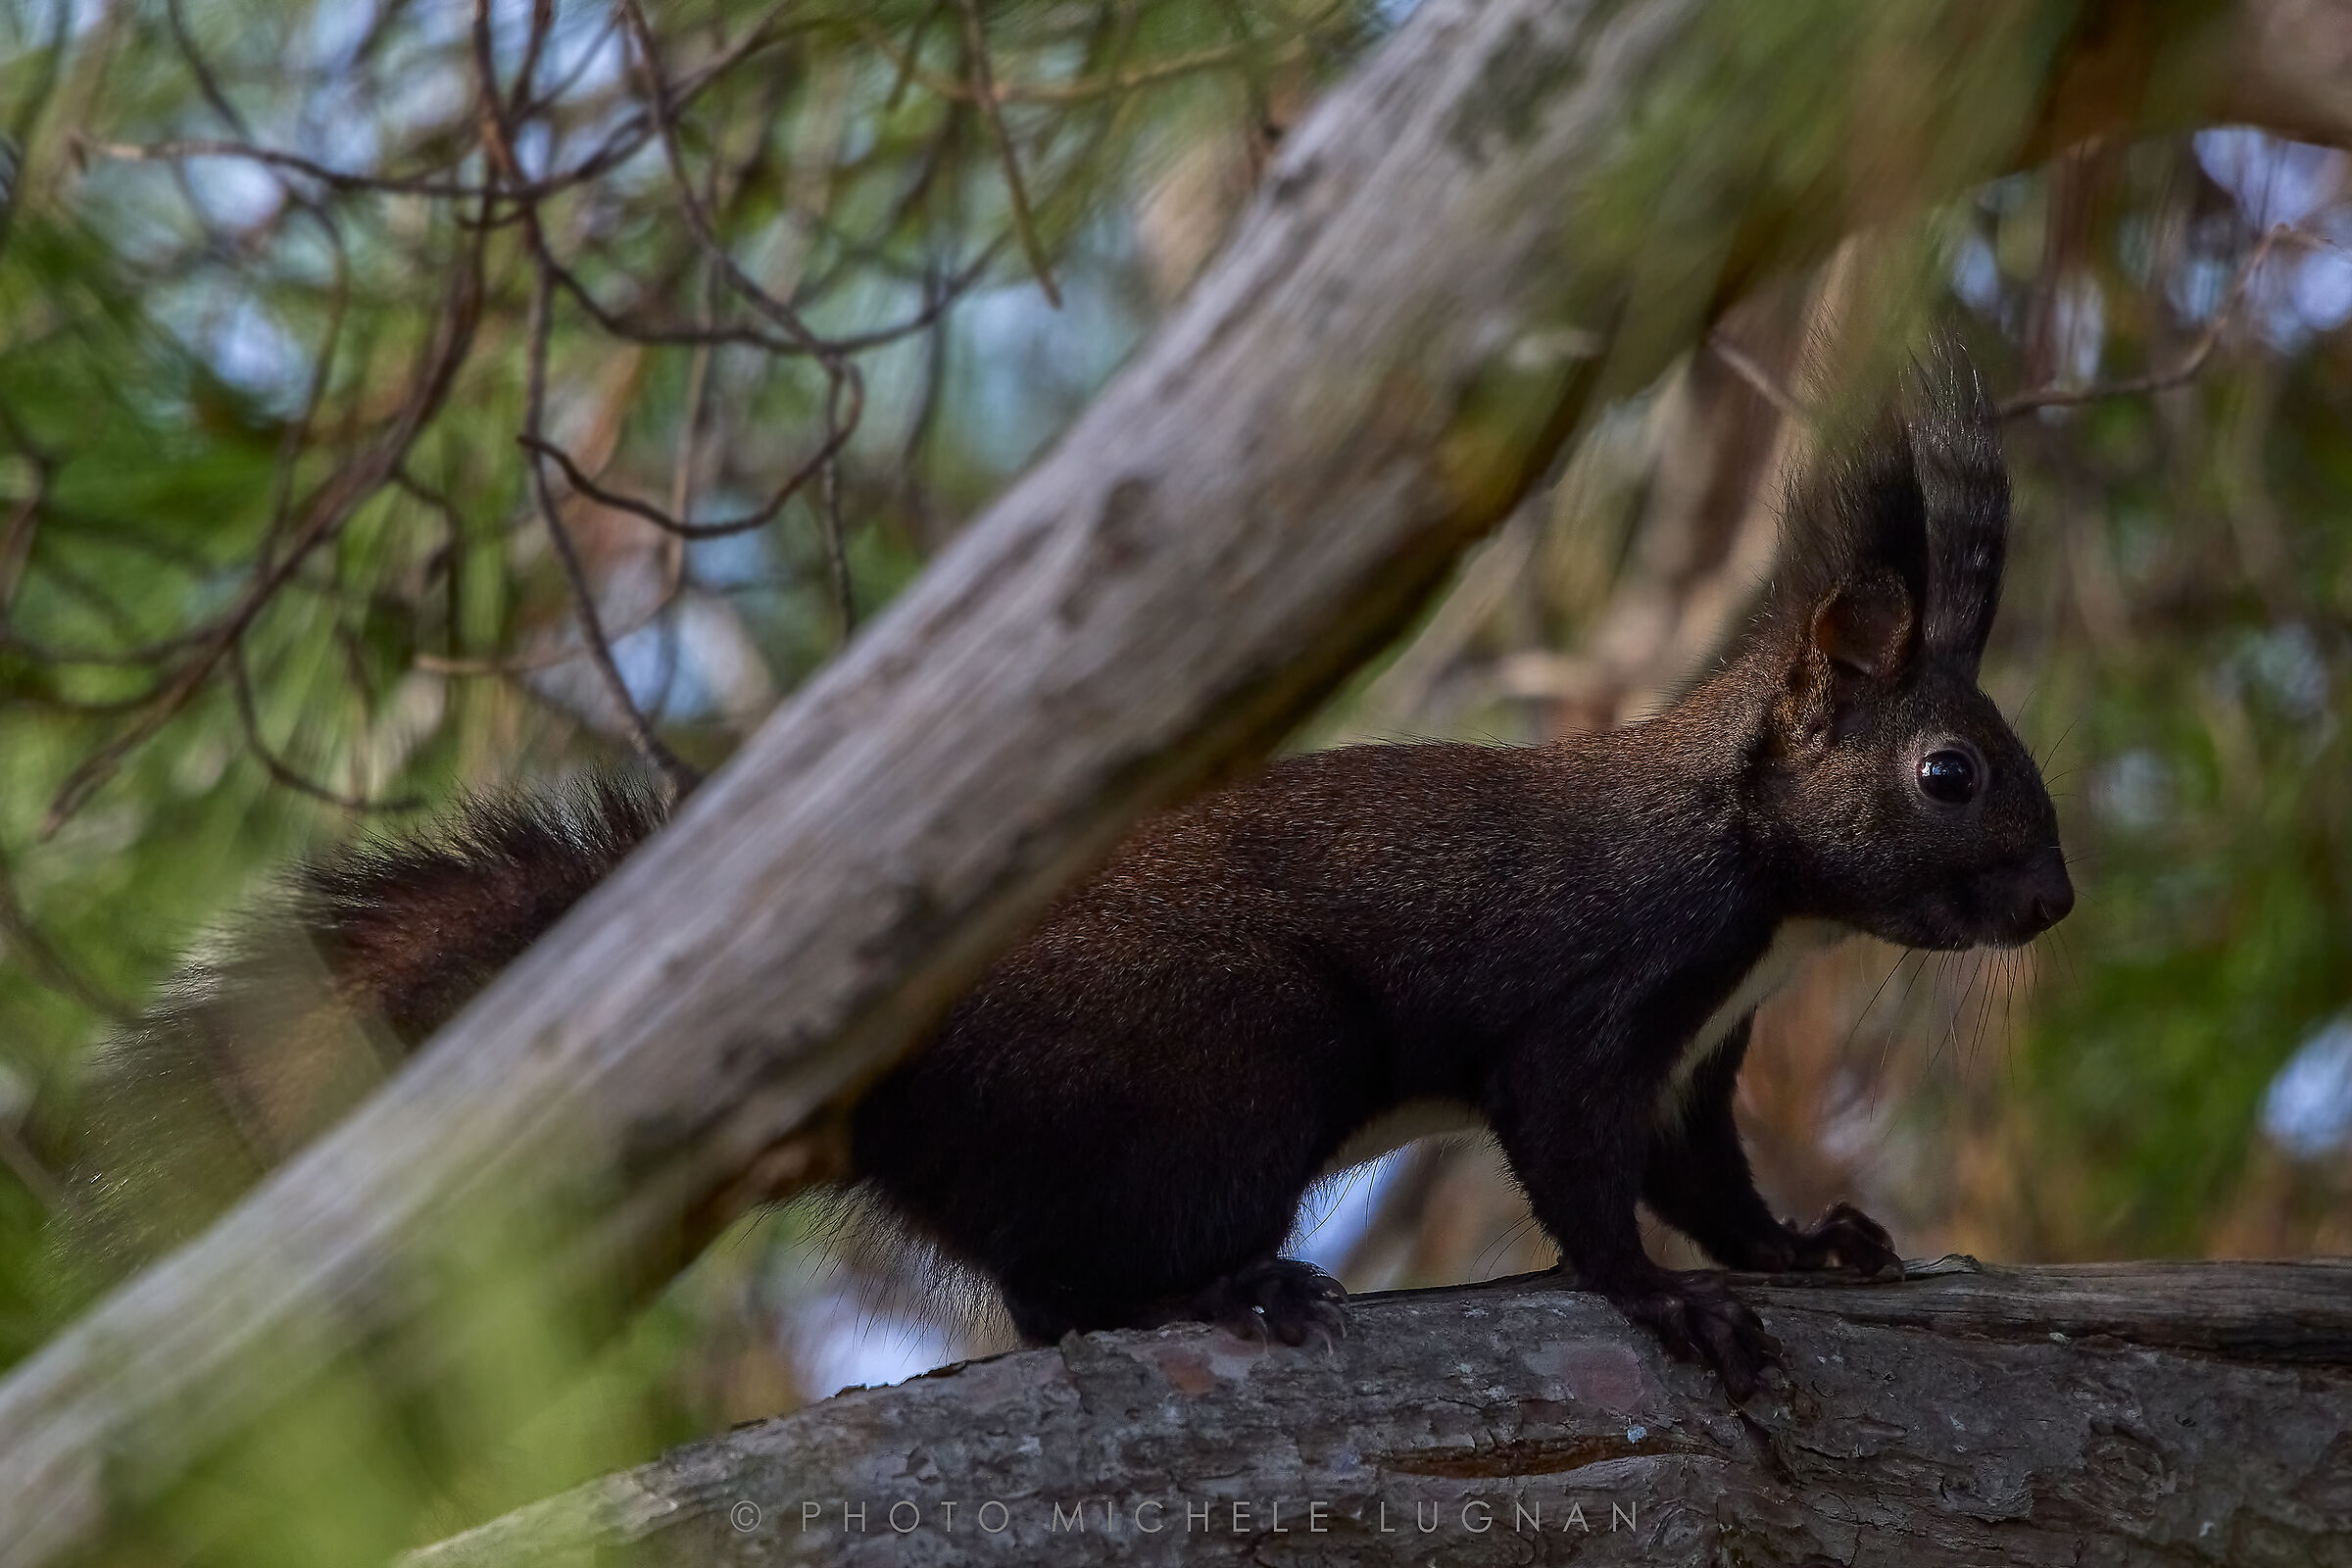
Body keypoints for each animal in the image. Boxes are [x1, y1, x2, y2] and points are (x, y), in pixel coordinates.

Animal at [56, 344, 2069, 1402]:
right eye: (1949, 772)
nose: (2053, 906)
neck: (1759, 887)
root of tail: (886, 1070)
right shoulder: (1593, 1002)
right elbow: (1580, 1181)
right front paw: (1670, 1306)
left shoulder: (1697, 1063)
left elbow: (1705, 1179)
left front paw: (1807, 1245)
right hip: (1234, 1063)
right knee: (1058, 1293)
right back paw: (1231, 1294)